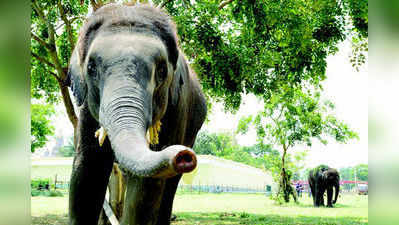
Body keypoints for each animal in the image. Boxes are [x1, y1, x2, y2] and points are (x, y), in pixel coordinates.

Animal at [67, 3, 208, 225]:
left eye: (161, 70)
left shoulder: (178, 110)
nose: (183, 154)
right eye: (91, 68)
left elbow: (146, 187)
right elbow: (86, 172)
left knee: (169, 187)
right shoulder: (86, 111)